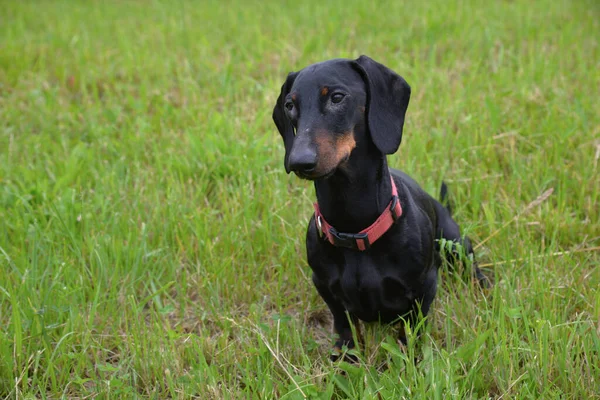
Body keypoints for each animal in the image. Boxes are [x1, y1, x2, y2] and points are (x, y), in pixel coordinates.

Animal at [272, 55, 488, 360]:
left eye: (337, 97)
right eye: (290, 105)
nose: (299, 161)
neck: (354, 228)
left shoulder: (424, 287)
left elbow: (413, 329)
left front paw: (411, 358)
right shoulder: (324, 285)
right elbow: (343, 322)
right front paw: (346, 356)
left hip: (455, 244)